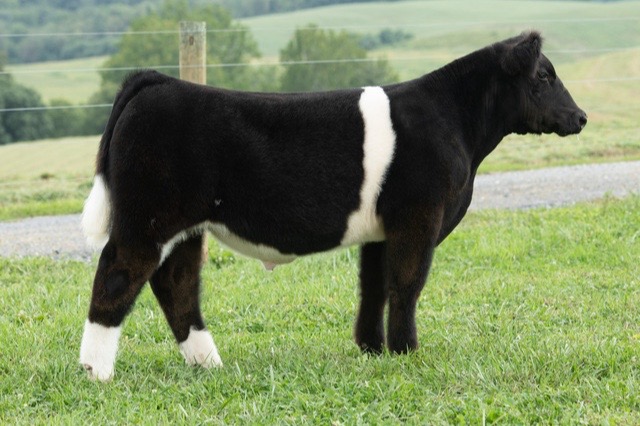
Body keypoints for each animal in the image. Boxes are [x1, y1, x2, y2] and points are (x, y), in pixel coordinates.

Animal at [79, 31, 586, 381]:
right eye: (544, 76)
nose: (580, 117)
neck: (454, 122)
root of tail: (157, 81)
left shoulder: (382, 229)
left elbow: (374, 286)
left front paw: (372, 349)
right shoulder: (419, 217)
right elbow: (407, 284)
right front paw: (407, 351)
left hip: (187, 226)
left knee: (176, 284)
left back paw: (209, 363)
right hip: (148, 219)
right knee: (118, 273)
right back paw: (97, 372)